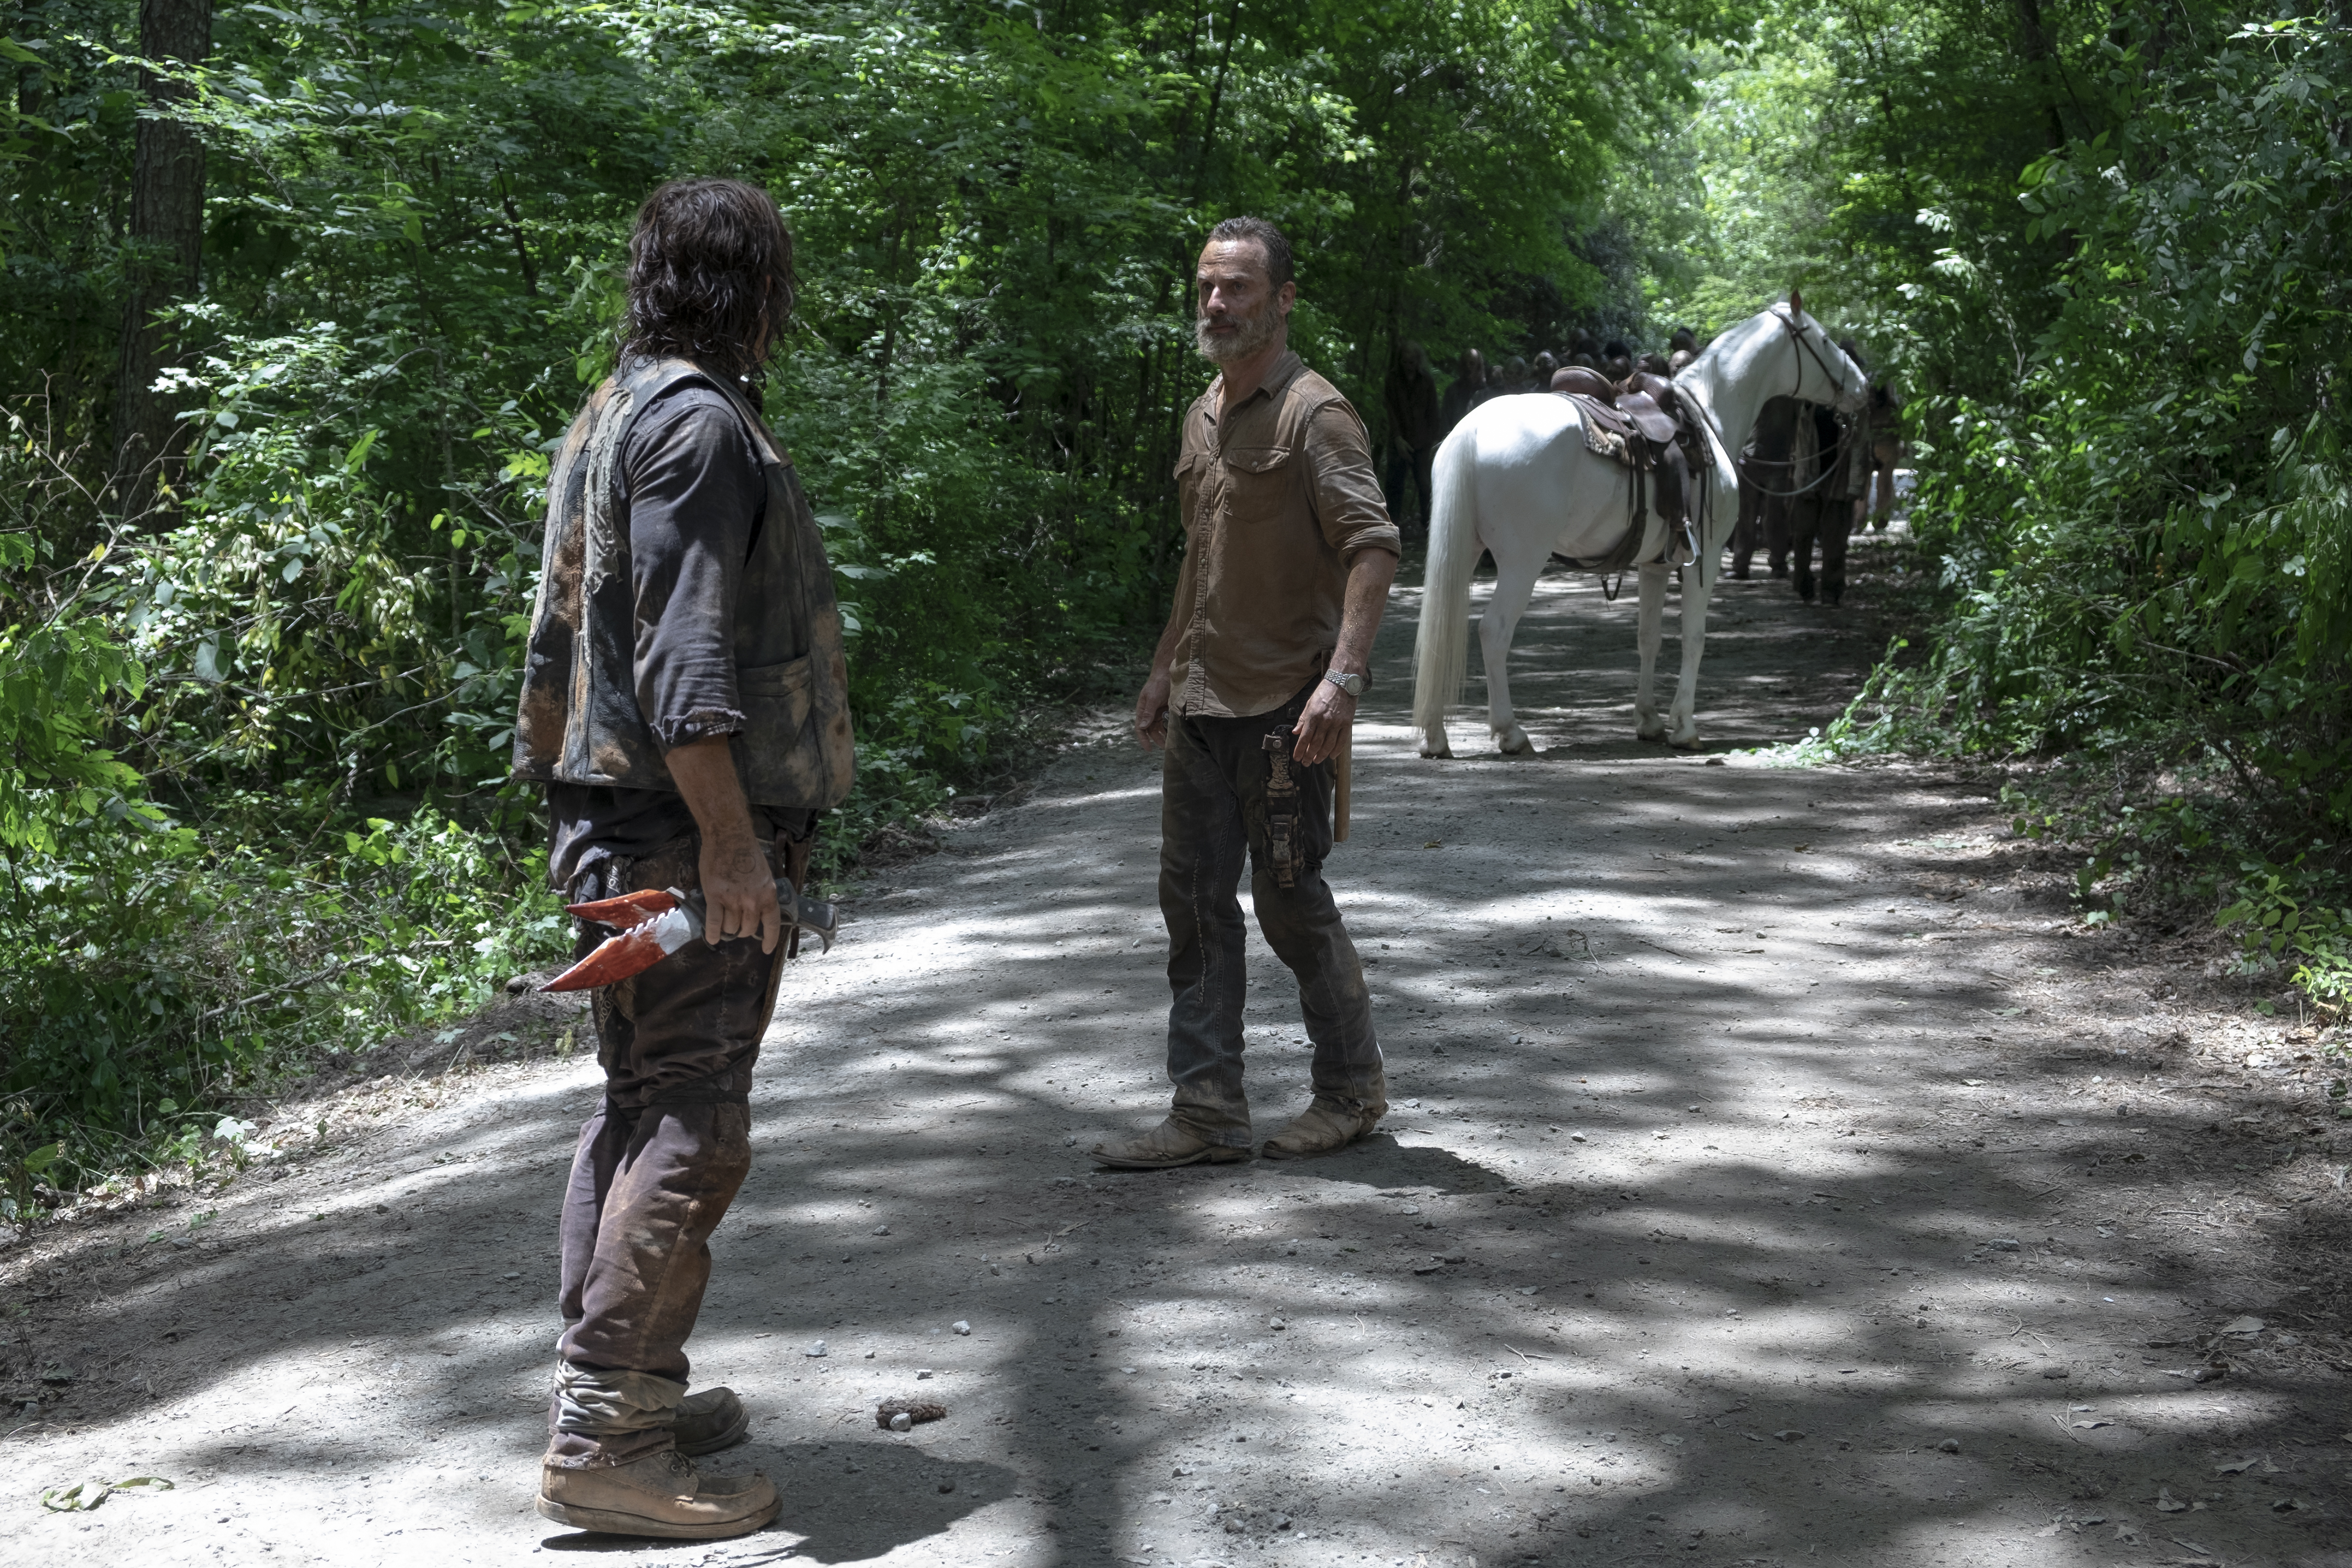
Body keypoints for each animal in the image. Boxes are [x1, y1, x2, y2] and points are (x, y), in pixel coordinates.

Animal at [1402, 303, 1863, 762]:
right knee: (1494, 631)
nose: (1862, 387)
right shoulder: (1707, 558)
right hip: (1522, 562)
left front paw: (1650, 721)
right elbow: (1694, 637)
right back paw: (1511, 733)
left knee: (1441, 635)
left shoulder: (1655, 565)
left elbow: (1649, 638)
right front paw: (1684, 727)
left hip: (1464, 551)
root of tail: (1471, 429)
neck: (1708, 413)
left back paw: (1435, 737)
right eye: (1824, 339)